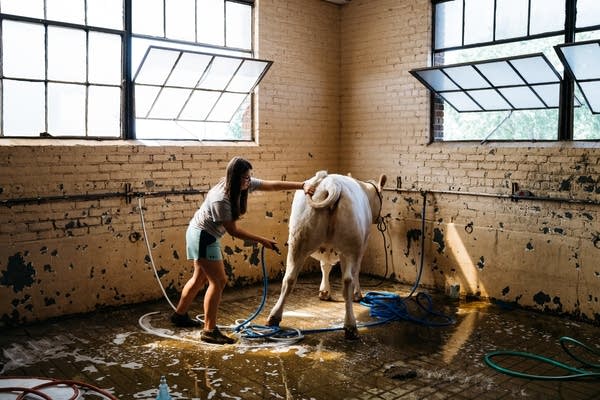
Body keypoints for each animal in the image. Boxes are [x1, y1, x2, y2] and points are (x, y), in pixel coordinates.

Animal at [266, 170, 386, 340]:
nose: (380, 218)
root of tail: (330, 183)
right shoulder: (362, 245)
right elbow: (354, 273)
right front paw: (357, 294)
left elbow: (325, 266)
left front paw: (324, 291)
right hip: (350, 245)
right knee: (347, 281)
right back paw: (350, 326)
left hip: (298, 240)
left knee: (289, 278)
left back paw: (274, 317)